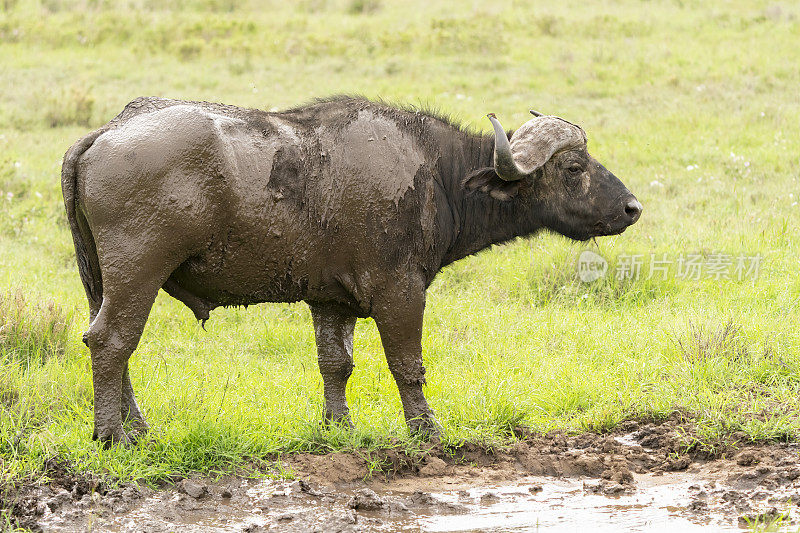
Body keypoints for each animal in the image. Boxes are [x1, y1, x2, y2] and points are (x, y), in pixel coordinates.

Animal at [59, 96, 640, 444]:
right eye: (574, 167)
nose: (632, 207)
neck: (439, 176)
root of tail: (106, 132)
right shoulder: (400, 292)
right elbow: (408, 366)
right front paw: (426, 430)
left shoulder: (329, 300)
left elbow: (335, 366)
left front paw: (339, 428)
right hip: (139, 272)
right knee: (112, 341)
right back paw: (112, 436)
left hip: (100, 281)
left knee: (108, 343)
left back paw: (137, 429)